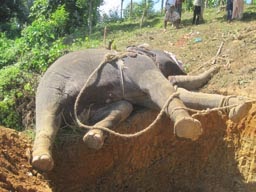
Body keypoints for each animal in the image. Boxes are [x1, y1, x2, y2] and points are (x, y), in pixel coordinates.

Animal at [32, 46, 252, 171]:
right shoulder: (140, 67)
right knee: (48, 116)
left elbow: (174, 93)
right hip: (50, 85)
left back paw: (94, 137)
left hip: (82, 110)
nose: (219, 66)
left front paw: (240, 106)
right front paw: (187, 126)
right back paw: (41, 160)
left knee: (124, 106)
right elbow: (164, 89)